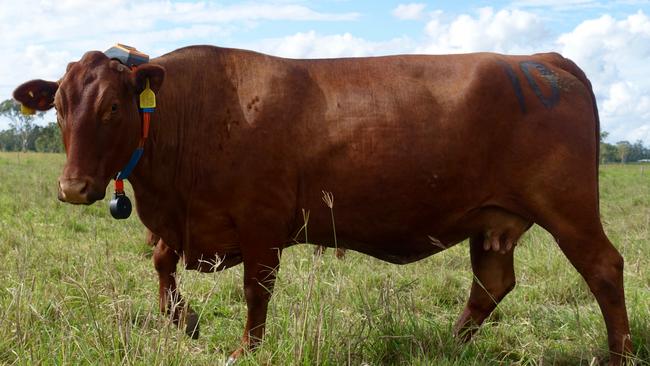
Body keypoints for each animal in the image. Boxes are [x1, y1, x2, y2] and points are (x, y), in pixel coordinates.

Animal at [13, 47, 628, 364]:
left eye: (114, 108)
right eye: (59, 106)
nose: (73, 187)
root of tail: (542, 61)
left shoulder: (261, 223)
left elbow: (255, 291)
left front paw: (246, 349)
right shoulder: (184, 224)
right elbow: (163, 267)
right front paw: (185, 320)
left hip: (568, 207)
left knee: (604, 268)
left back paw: (618, 353)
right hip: (492, 218)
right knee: (491, 282)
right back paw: (446, 346)